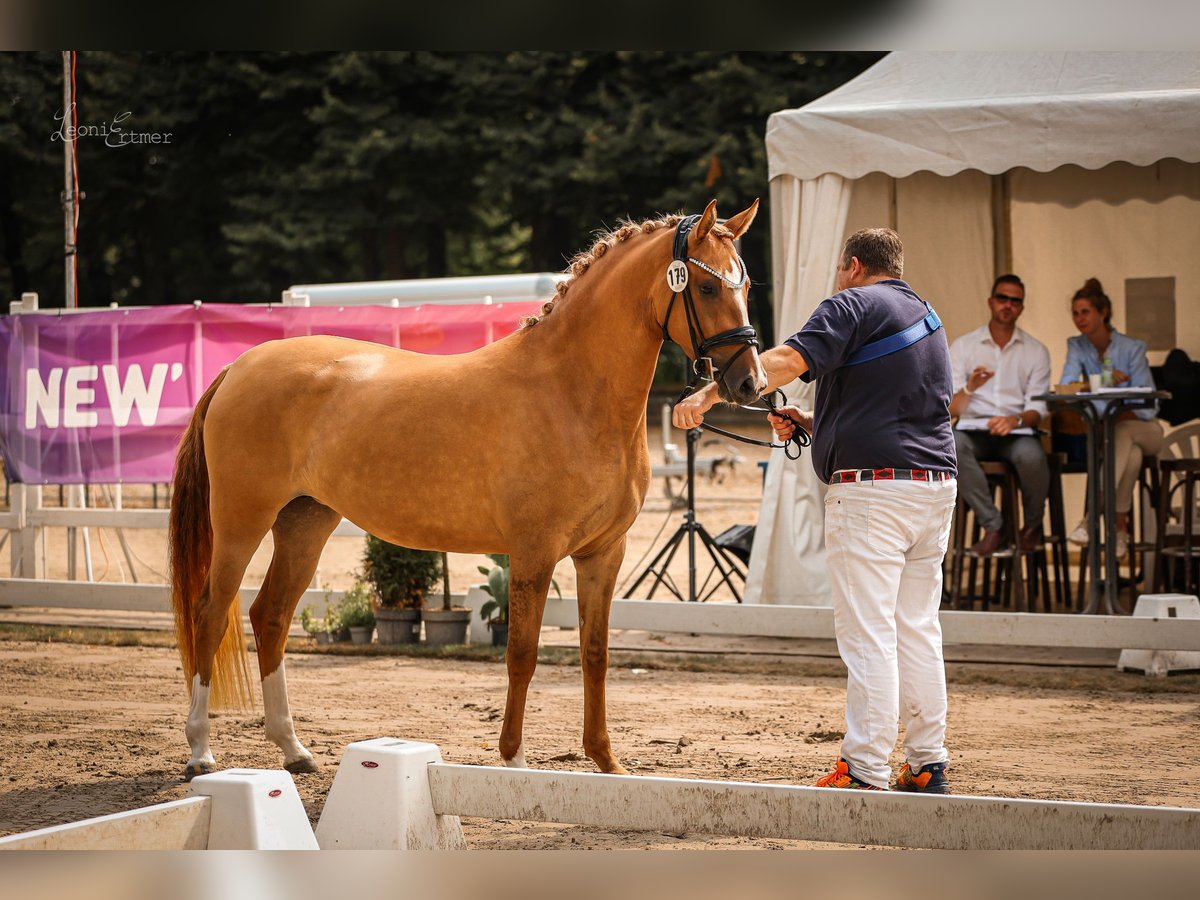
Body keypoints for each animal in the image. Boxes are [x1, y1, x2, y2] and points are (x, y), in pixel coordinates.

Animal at [166, 199, 768, 782]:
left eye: (744, 287)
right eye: (707, 286)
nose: (750, 384)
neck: (570, 392)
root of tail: (240, 366)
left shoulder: (603, 553)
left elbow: (594, 654)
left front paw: (607, 763)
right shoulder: (533, 554)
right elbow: (522, 653)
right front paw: (514, 762)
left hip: (304, 523)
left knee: (270, 617)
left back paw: (294, 750)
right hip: (241, 522)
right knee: (210, 613)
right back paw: (201, 752)